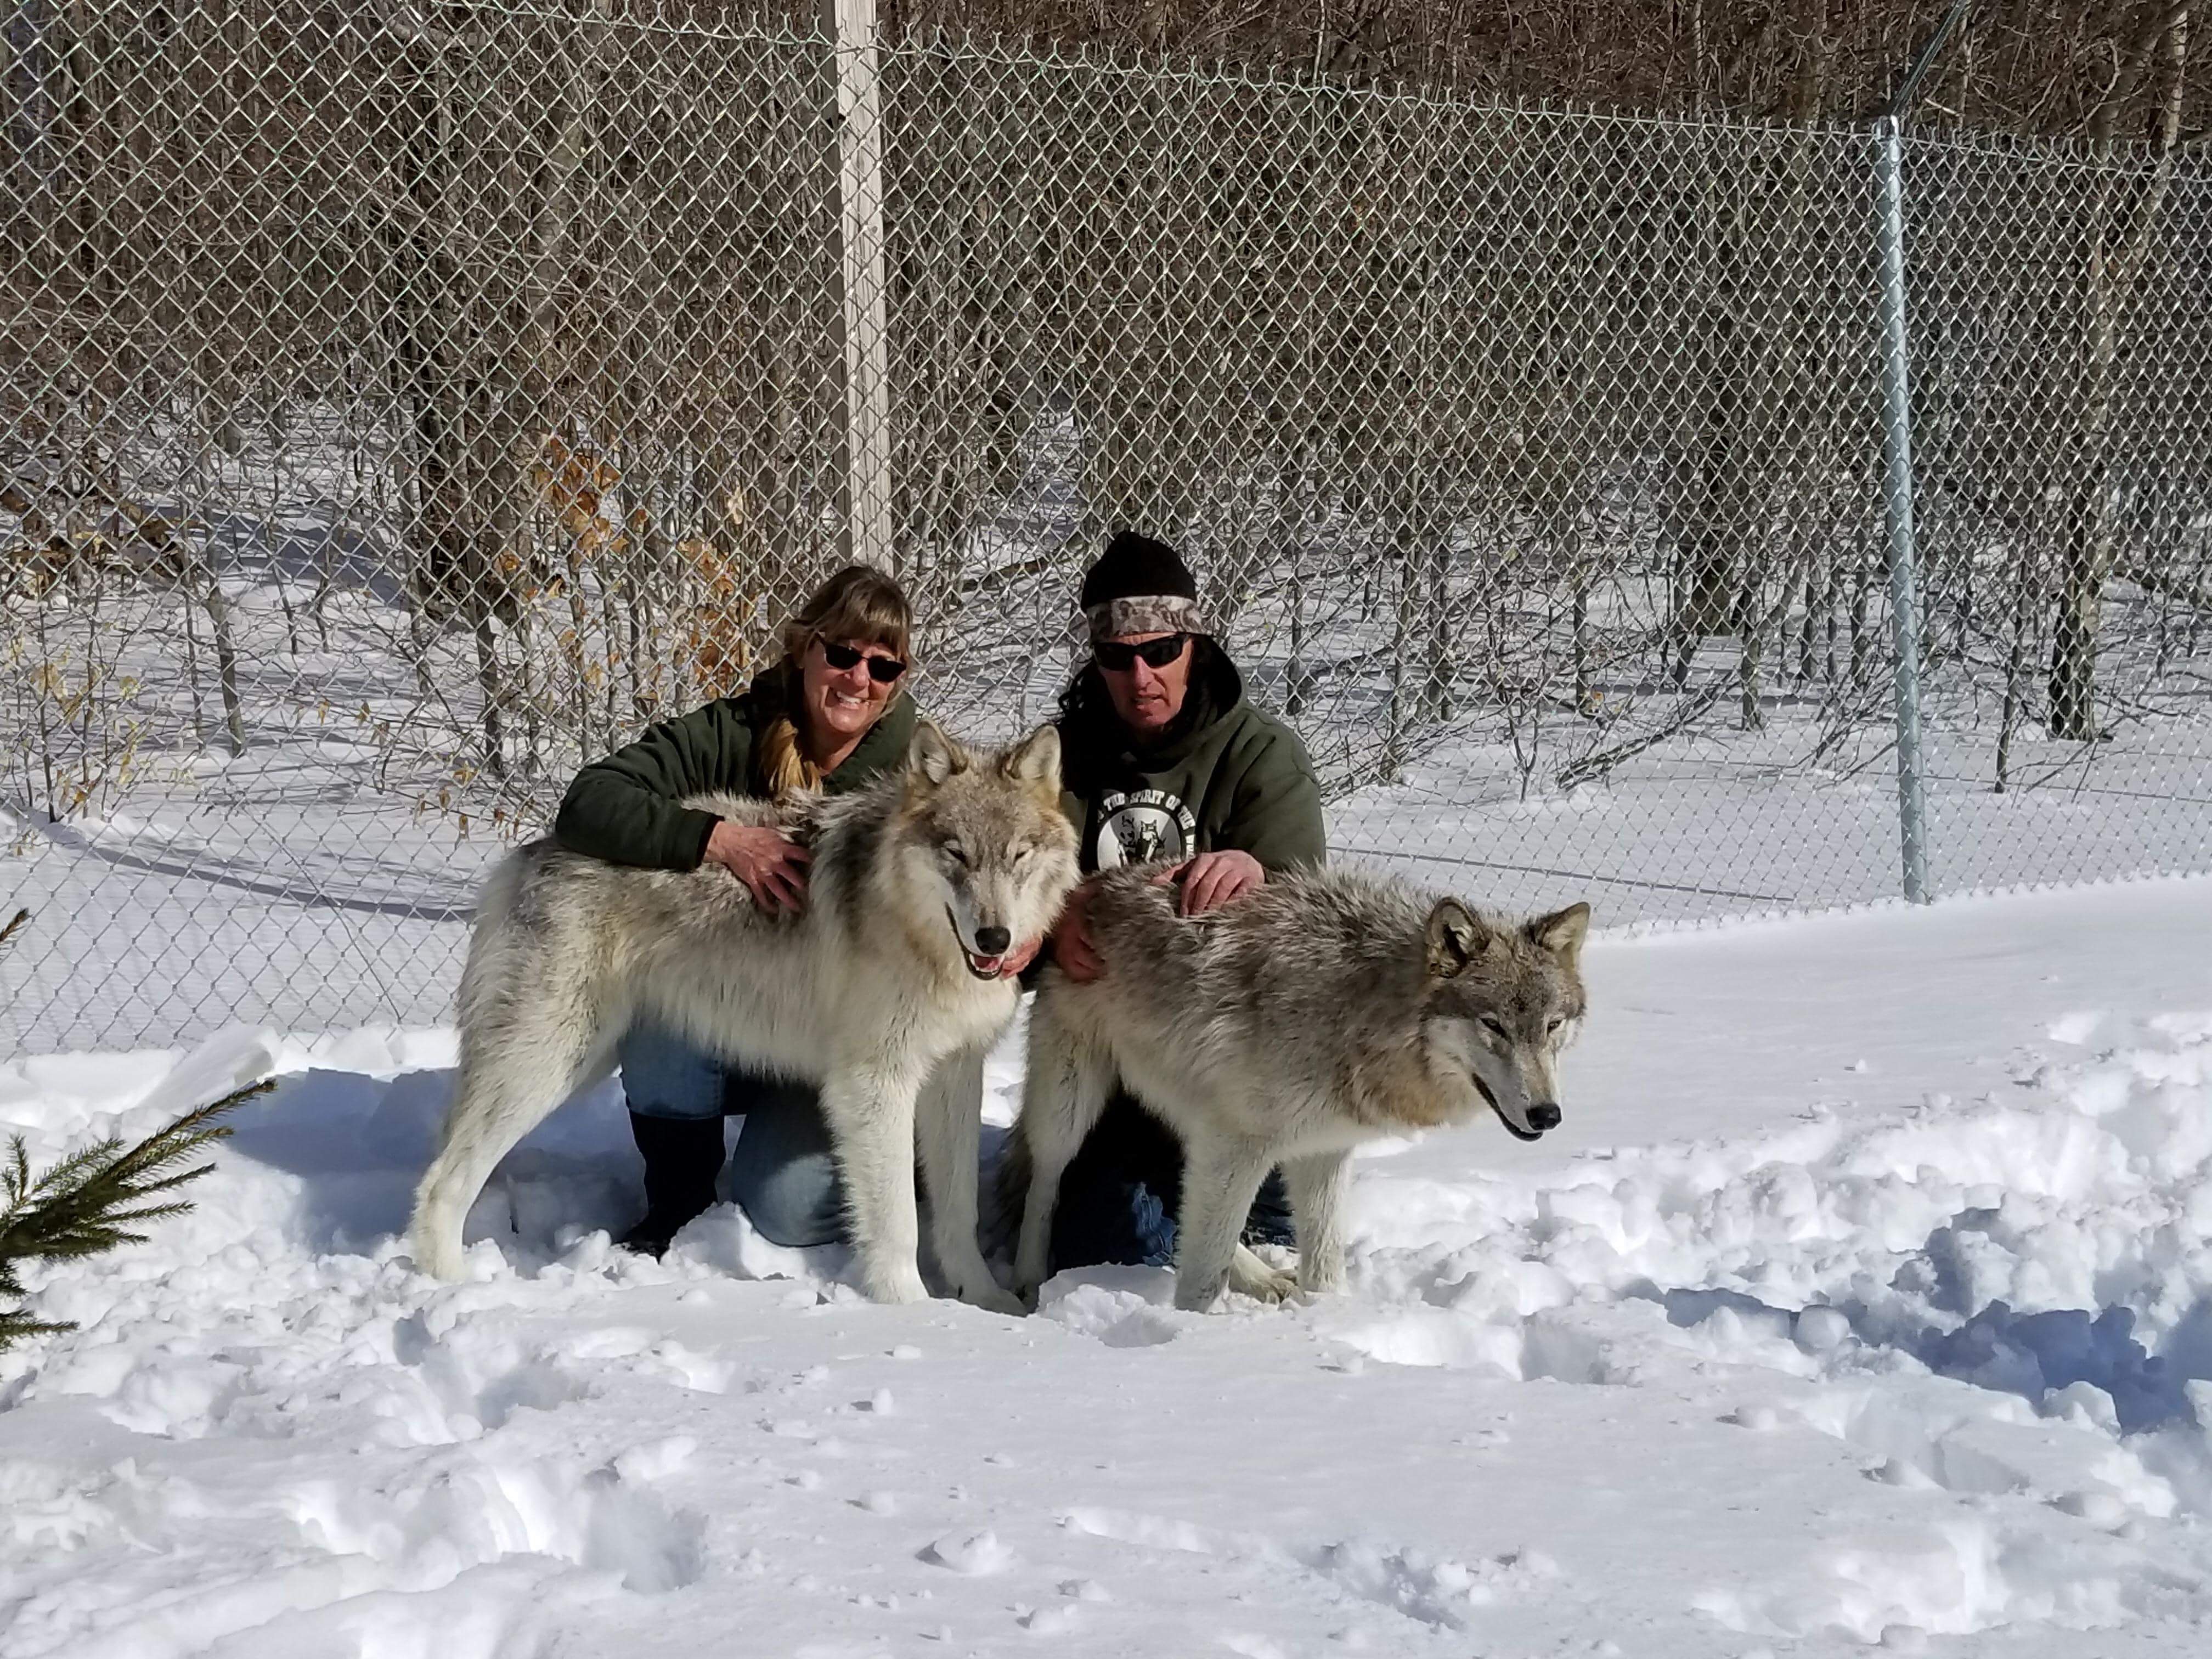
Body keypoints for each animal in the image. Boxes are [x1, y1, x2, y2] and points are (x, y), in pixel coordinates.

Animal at [409, 722, 1080, 1313]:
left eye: (1018, 856)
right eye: (956, 854)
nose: (995, 939)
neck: (918, 935)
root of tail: (528, 853)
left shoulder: (954, 1074)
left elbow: (959, 1208)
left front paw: (985, 1301)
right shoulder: (875, 1083)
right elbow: (896, 1221)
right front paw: (915, 1314)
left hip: (577, 1061)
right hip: (549, 1062)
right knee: (442, 1179)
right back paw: (454, 1288)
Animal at [1006, 867, 1590, 1312]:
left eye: (1552, 1026)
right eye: (1493, 1026)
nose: (1547, 1115)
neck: (1357, 1012)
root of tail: (1095, 883)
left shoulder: (1321, 1149)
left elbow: (1324, 1261)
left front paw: (1326, 1319)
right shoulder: (1240, 1141)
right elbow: (1203, 1277)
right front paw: (1189, 1336)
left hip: (1193, 1114)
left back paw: (1263, 1279)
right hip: (1071, 1107)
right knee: (1044, 1181)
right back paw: (1026, 1284)